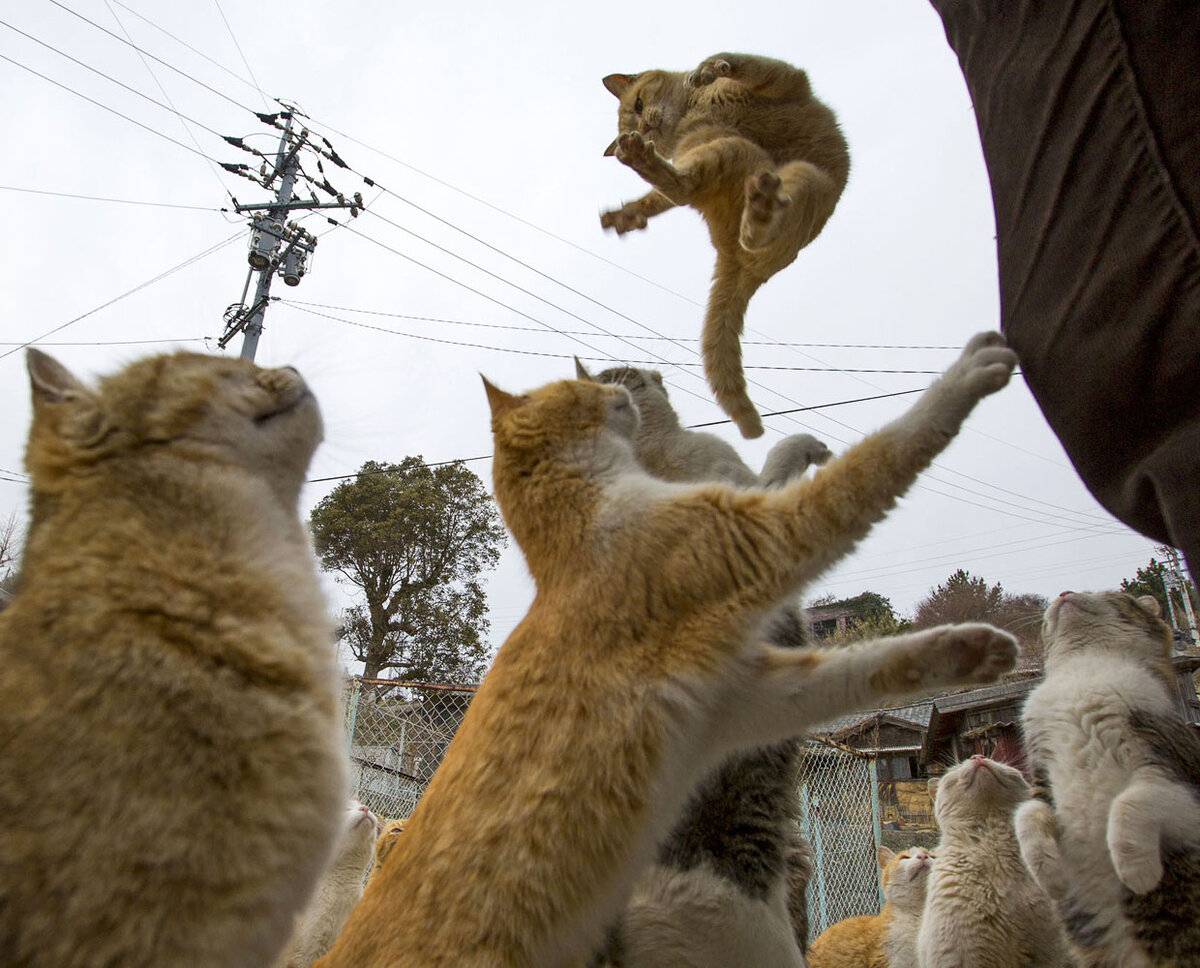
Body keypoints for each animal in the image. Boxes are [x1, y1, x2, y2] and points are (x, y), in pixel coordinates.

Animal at [1017, 590, 1200, 968]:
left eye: (1104, 592)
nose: (1063, 592)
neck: (1083, 669)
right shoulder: (1041, 779)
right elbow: (1026, 816)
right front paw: (1050, 876)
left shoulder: (1173, 769)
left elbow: (1131, 803)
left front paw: (1137, 874)